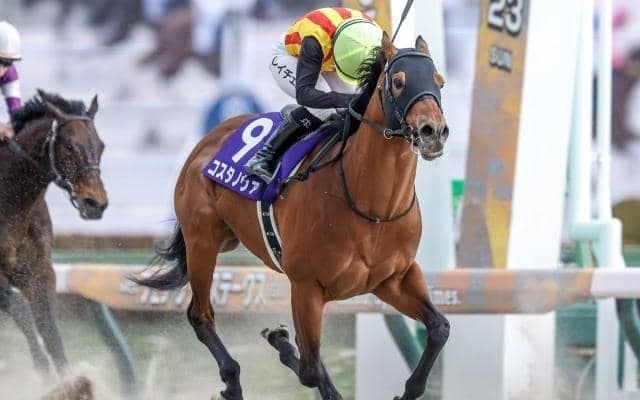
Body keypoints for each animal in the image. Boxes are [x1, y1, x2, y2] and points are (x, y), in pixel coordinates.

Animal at [0, 90, 107, 385]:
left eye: (101, 145)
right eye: (69, 146)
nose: (95, 203)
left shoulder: (38, 271)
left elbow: (49, 328)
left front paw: (68, 381)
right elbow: (23, 313)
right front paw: (44, 372)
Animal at [134, 34, 449, 400]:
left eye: (439, 81)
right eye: (398, 82)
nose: (432, 131)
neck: (373, 207)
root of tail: (208, 141)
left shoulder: (392, 279)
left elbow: (439, 327)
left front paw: (408, 390)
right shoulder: (306, 285)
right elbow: (310, 371)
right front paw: (282, 344)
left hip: (226, 239)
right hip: (203, 243)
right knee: (201, 315)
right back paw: (232, 382)